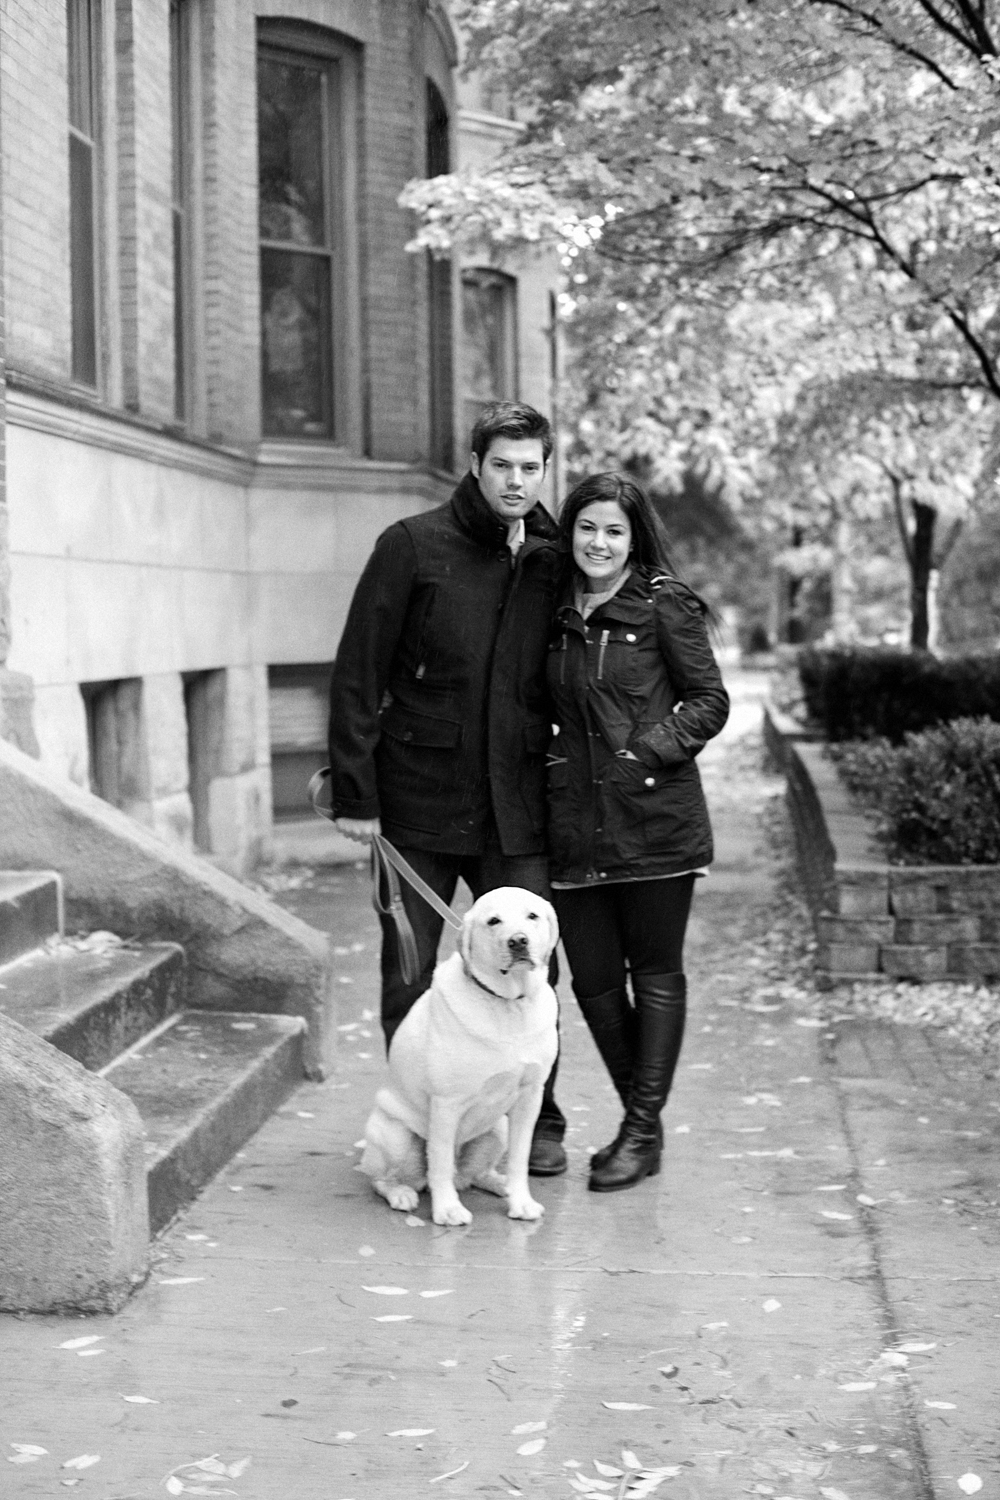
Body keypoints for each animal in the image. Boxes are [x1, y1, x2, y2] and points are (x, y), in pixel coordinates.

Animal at [359, 887, 559, 1226]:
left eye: (532, 916)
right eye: (493, 921)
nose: (519, 941)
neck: (507, 1003)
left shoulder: (530, 1096)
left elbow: (520, 1159)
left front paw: (521, 1202)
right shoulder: (446, 1102)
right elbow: (438, 1163)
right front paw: (448, 1210)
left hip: (498, 1128)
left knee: (471, 1175)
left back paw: (499, 1184)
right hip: (396, 1136)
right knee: (385, 1178)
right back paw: (401, 1193)